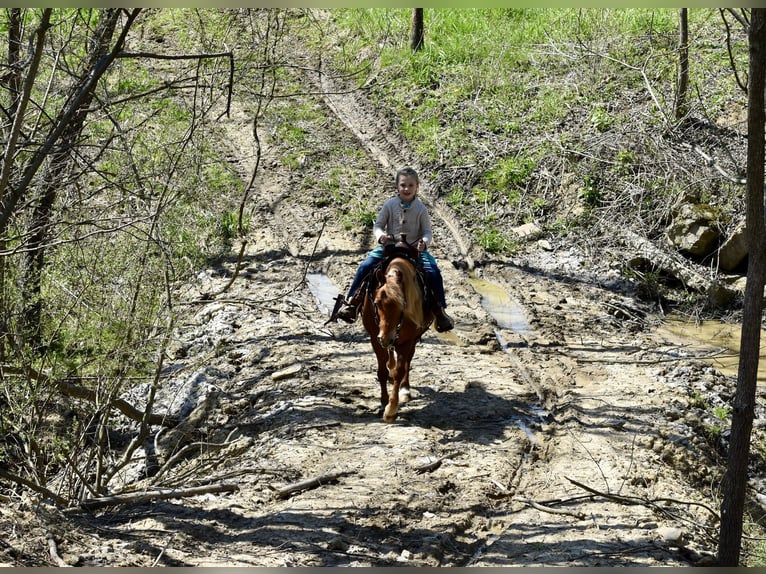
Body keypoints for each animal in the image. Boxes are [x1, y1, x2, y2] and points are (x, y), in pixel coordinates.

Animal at [361, 242, 433, 422]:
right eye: (377, 303)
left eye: (403, 305)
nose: (386, 337)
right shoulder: (375, 338)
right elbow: (381, 371)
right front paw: (382, 403)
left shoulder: (407, 340)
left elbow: (400, 370)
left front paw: (391, 409)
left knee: (407, 361)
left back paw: (404, 390)